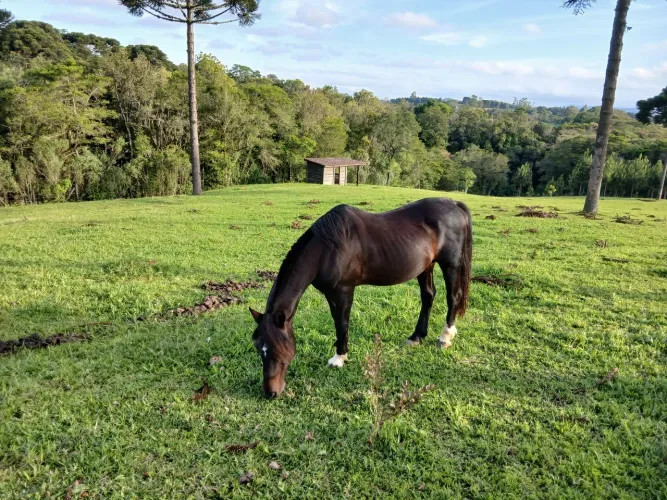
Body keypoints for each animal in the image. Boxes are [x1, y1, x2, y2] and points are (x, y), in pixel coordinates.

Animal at [249, 197, 472, 398]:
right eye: (259, 348)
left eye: (278, 349)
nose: (270, 393)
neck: (327, 248)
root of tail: (454, 204)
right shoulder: (330, 293)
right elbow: (337, 322)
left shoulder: (344, 290)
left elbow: (342, 323)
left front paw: (339, 358)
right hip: (426, 266)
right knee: (428, 296)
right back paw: (416, 336)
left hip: (450, 265)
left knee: (453, 297)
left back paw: (445, 337)